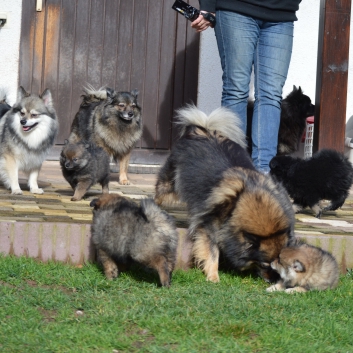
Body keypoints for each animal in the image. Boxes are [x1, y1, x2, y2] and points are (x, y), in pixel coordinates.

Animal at [155, 105, 296, 284]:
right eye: (265, 265)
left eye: (279, 263)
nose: (274, 280)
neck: (244, 199)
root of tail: (203, 130)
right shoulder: (210, 228)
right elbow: (212, 253)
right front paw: (213, 277)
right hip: (170, 185)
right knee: (159, 194)